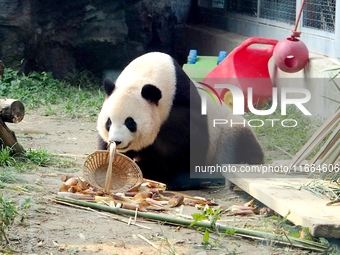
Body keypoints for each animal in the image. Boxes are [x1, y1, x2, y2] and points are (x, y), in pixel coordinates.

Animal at [97, 51, 264, 190]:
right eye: (109, 122)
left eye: (130, 122)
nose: (116, 141)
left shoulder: (180, 106)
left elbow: (189, 144)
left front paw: (179, 181)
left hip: (228, 133)